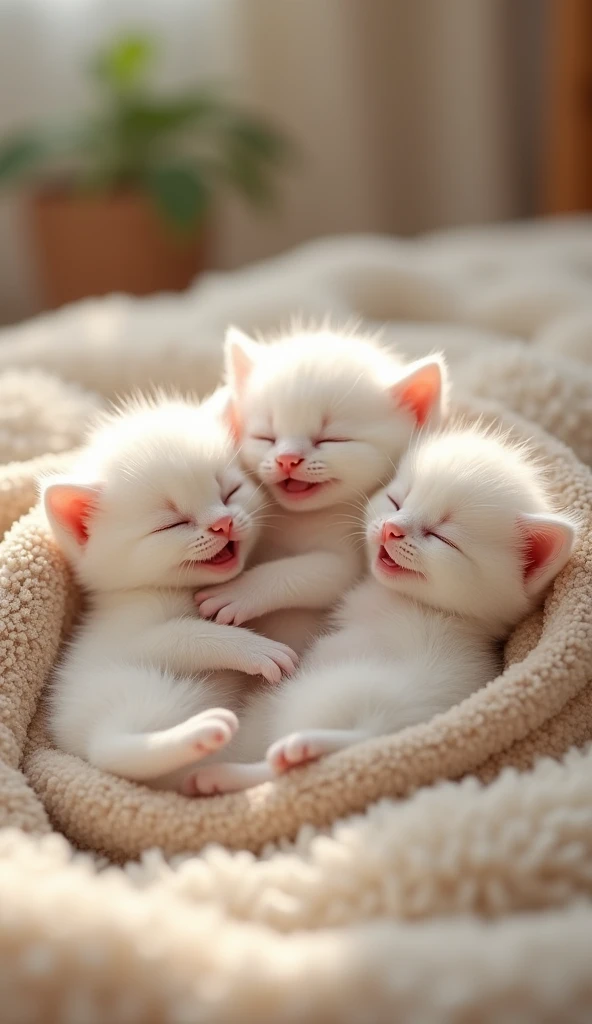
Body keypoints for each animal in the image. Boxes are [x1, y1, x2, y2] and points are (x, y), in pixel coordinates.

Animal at [43, 391, 297, 782]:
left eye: (230, 491)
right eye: (172, 523)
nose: (223, 523)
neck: (170, 589)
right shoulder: (132, 635)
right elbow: (187, 634)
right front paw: (257, 649)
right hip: (132, 698)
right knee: (114, 751)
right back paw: (202, 731)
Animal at [185, 423, 577, 790]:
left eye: (442, 537)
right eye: (395, 501)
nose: (391, 529)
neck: (412, 601)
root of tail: (388, 727)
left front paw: (239, 594)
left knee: (306, 765)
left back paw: (238, 770)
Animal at [193, 325, 446, 655]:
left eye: (332, 439)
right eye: (266, 437)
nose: (287, 459)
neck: (301, 515)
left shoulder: (349, 560)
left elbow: (312, 572)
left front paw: (240, 591)